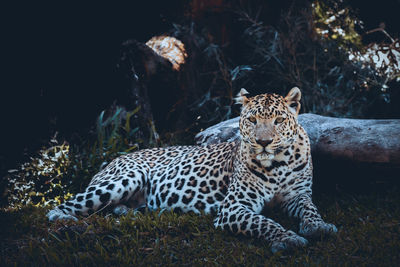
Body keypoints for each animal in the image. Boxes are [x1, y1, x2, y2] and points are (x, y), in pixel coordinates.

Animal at [47, 88, 338, 253]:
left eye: (278, 120)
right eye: (252, 119)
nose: (263, 142)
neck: (277, 163)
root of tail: (109, 162)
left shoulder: (298, 195)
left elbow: (310, 209)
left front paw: (318, 226)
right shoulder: (233, 206)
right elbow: (262, 222)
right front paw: (287, 238)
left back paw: (134, 212)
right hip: (125, 178)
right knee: (63, 206)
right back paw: (68, 223)